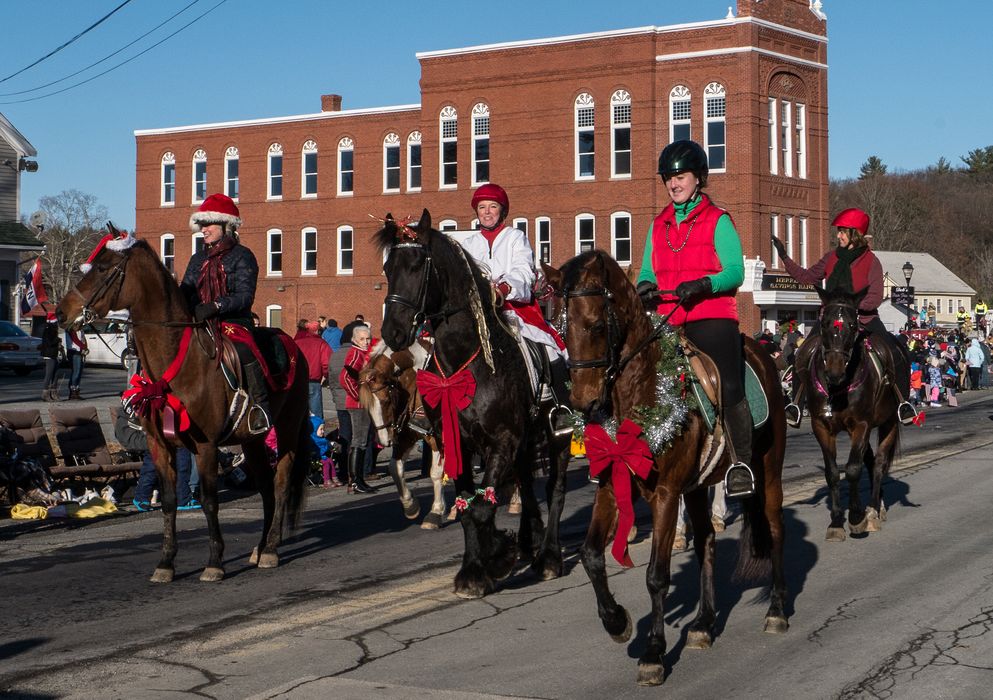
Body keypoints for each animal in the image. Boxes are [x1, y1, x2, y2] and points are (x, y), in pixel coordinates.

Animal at [55, 232, 310, 584]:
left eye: (104, 269)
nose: (61, 312)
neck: (178, 362)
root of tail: (294, 345)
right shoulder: (160, 445)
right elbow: (169, 501)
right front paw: (166, 562)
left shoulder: (206, 446)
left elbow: (209, 501)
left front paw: (215, 561)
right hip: (253, 440)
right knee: (266, 488)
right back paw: (260, 548)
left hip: (287, 429)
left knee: (281, 484)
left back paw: (271, 549)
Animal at [358, 340, 448, 532]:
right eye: (366, 406)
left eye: (386, 400)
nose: (385, 440)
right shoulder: (406, 436)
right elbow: (395, 467)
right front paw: (410, 505)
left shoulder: (438, 438)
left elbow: (436, 473)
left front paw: (436, 512)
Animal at [372, 208, 572, 596]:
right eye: (388, 268)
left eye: (418, 265)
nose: (393, 333)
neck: (466, 359)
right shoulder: (457, 441)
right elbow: (468, 506)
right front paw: (487, 558)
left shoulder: (502, 440)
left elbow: (481, 507)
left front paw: (484, 567)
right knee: (527, 485)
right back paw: (529, 539)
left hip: (557, 435)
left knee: (554, 489)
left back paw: (549, 558)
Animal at [544, 250, 792, 684]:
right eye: (560, 329)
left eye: (596, 325)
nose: (584, 403)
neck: (639, 390)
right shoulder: (611, 485)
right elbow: (591, 556)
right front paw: (616, 621)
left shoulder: (664, 494)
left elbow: (656, 576)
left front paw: (653, 653)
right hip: (696, 487)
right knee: (708, 540)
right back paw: (704, 624)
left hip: (768, 471)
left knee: (775, 529)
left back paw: (776, 610)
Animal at [800, 286, 900, 540]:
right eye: (824, 323)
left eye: (853, 325)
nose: (834, 371)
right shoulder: (821, 426)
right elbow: (833, 472)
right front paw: (836, 521)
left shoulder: (861, 425)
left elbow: (854, 469)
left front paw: (856, 517)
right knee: (870, 459)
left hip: (890, 422)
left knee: (878, 463)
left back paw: (873, 510)